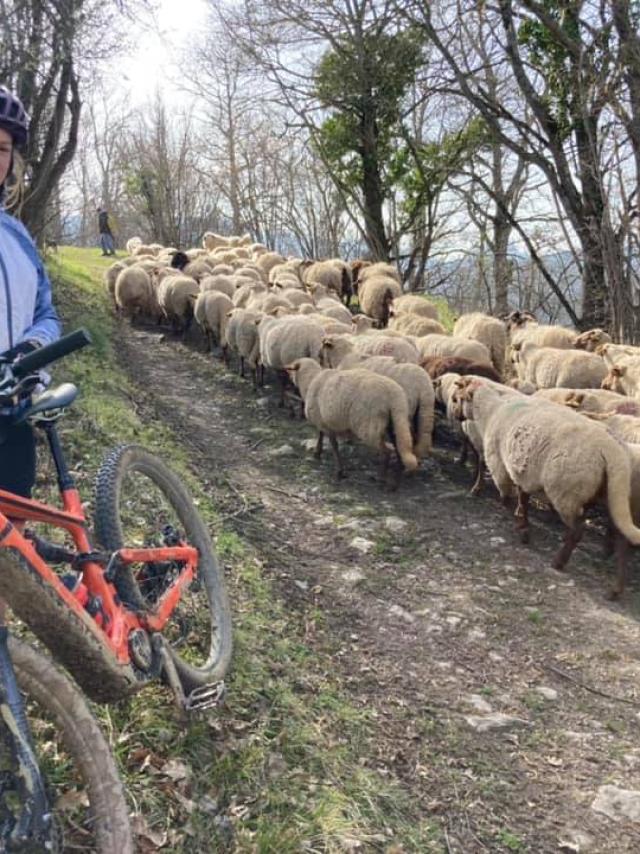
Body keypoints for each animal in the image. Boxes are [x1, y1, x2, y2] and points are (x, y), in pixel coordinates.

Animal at [286, 358, 418, 482]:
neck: (310, 381)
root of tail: (394, 398)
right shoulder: (324, 422)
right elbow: (321, 435)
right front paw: (318, 453)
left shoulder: (324, 422)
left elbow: (332, 444)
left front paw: (339, 471)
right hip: (394, 422)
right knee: (399, 450)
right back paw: (396, 482)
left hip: (369, 426)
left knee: (386, 452)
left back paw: (381, 479)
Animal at [458, 382, 640, 588]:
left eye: (461, 398)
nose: (458, 416)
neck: (491, 411)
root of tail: (611, 450)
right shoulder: (524, 473)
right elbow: (522, 498)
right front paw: (521, 522)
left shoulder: (500, 465)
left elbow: (507, 497)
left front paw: (521, 528)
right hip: (612, 493)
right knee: (621, 537)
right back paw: (615, 587)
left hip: (567, 492)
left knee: (577, 531)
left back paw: (559, 562)